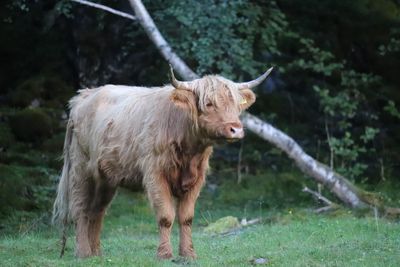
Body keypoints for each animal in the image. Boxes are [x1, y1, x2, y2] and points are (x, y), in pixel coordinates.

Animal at [52, 66, 272, 260]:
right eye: (209, 103)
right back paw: (83, 253)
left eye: (235, 105)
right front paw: (165, 254)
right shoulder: (155, 175)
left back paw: (96, 253)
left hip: (106, 178)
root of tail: (82, 96)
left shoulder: (197, 178)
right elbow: (166, 216)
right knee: (80, 209)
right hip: (80, 169)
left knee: (97, 211)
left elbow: (186, 217)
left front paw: (188, 254)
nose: (236, 129)